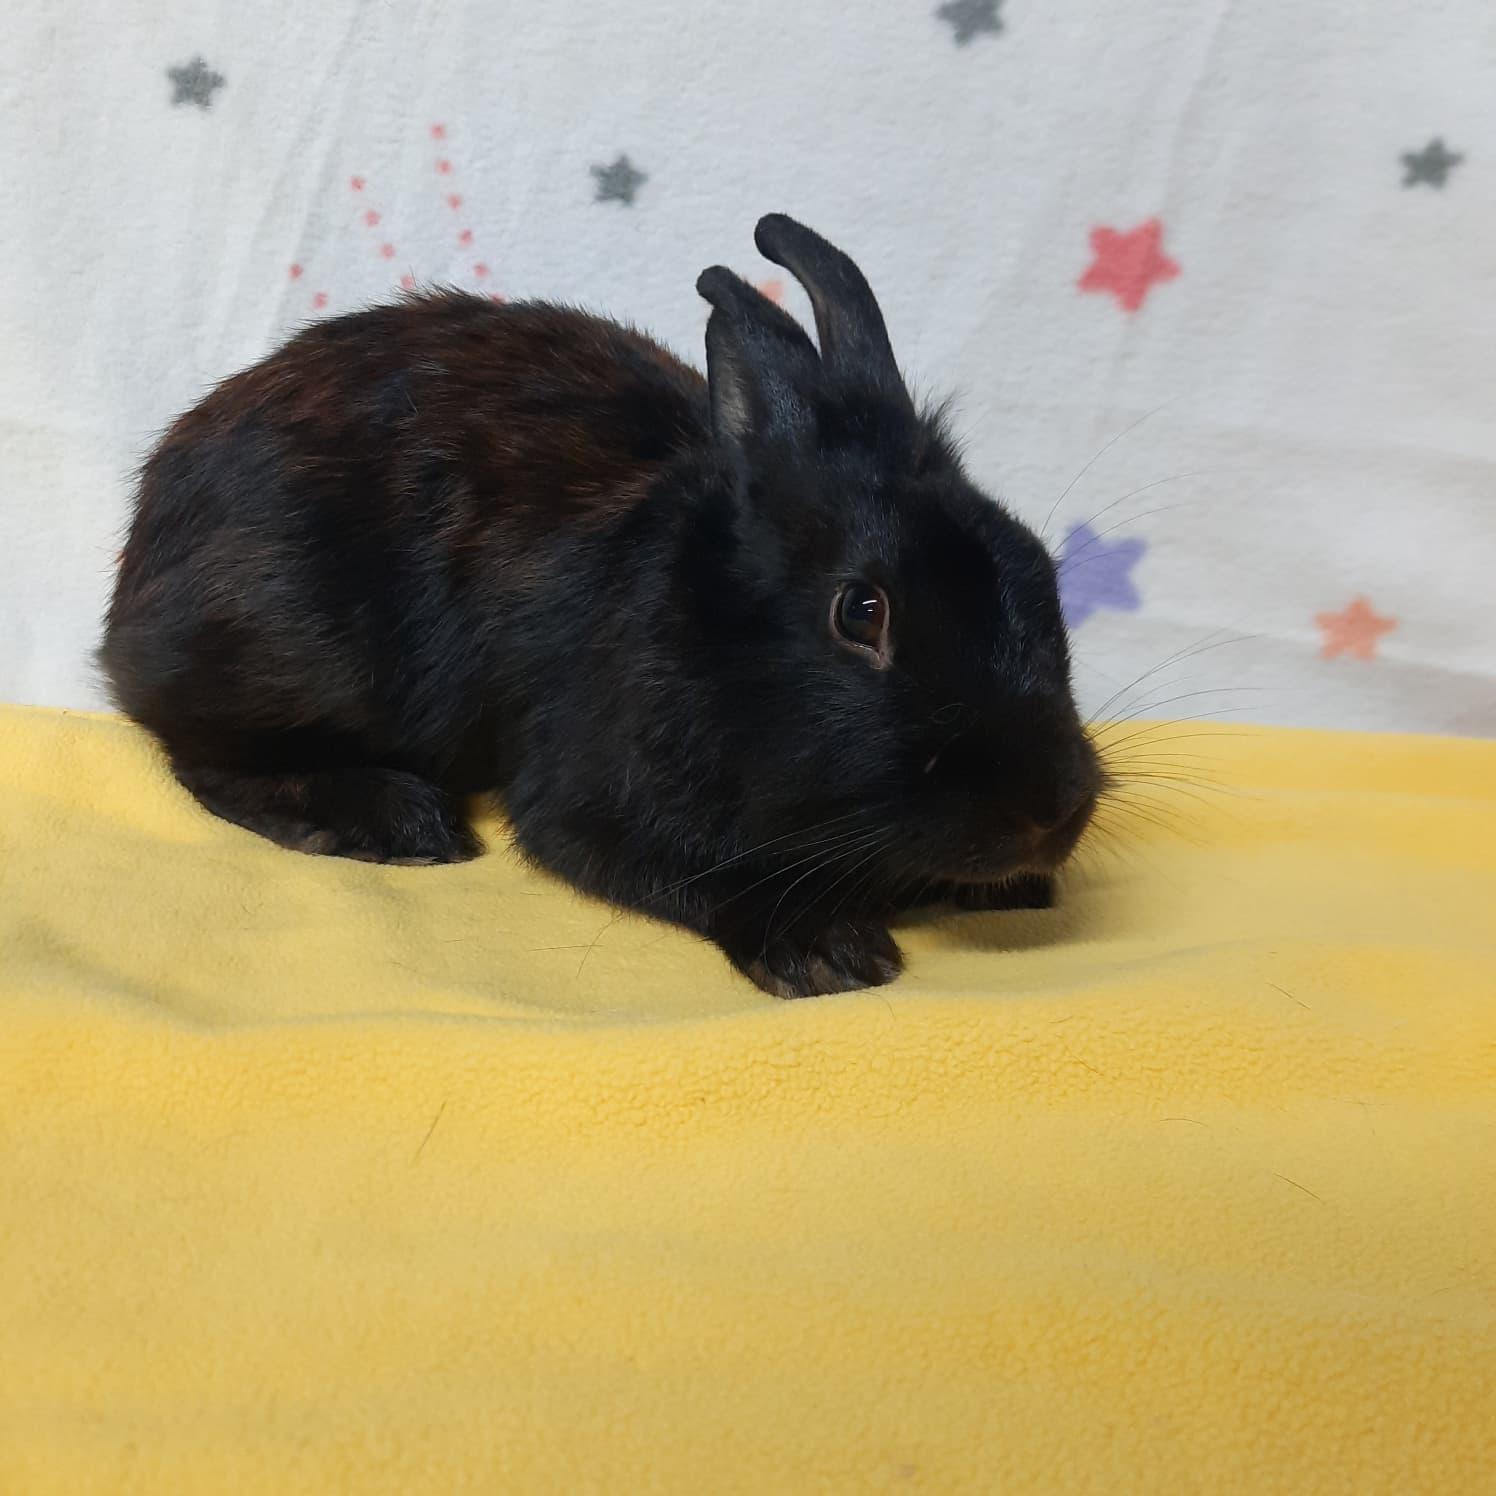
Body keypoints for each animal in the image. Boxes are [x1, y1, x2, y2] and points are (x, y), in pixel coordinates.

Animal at [101, 213, 1100, 998]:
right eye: (861, 611)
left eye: (1035, 565)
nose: (1051, 810)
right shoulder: (590, 801)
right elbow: (687, 868)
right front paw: (831, 953)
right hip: (292, 651)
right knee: (197, 756)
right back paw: (392, 820)